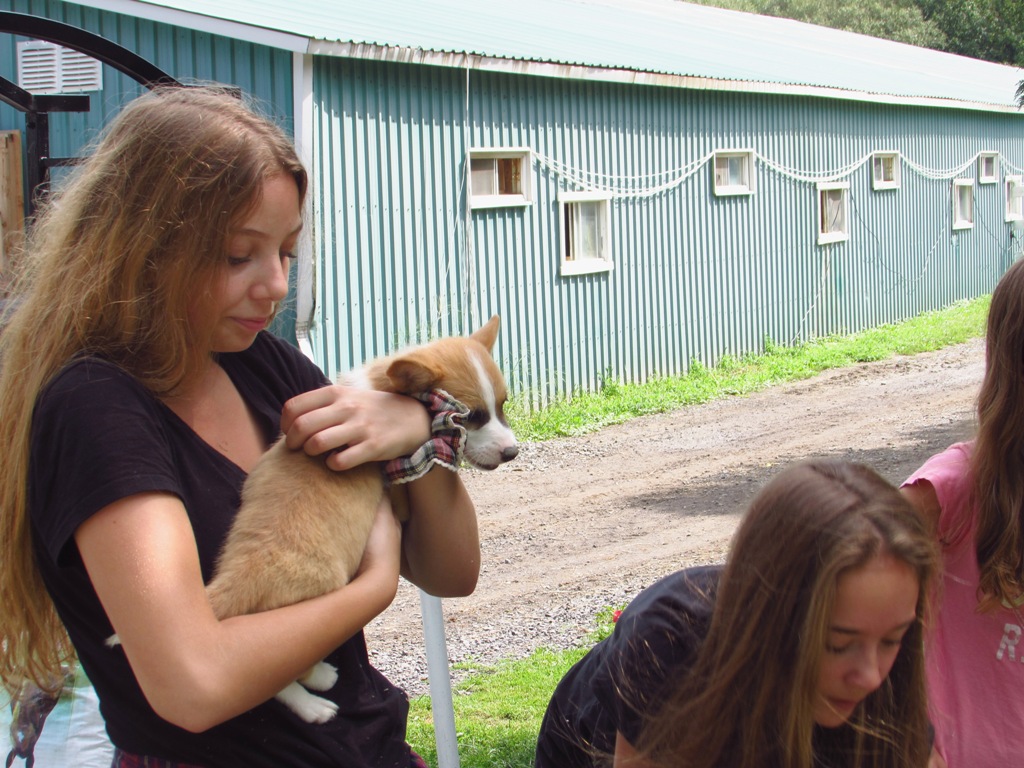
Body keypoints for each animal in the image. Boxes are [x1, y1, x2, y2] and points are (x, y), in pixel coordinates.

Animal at [204, 314, 518, 723]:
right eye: (474, 416)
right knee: (275, 676)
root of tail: (235, 581)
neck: (378, 388)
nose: (513, 452)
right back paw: (316, 697)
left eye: (502, 406)